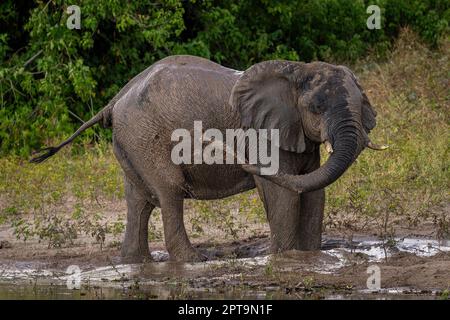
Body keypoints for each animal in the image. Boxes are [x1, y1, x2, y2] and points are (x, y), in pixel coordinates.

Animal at [30, 55, 386, 262]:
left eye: (363, 101)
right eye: (315, 107)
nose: (212, 141)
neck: (298, 70)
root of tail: (114, 101)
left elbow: (314, 191)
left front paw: (309, 257)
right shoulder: (262, 132)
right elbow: (282, 193)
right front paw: (285, 259)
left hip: (131, 141)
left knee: (139, 200)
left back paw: (137, 264)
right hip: (145, 137)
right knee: (169, 192)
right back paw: (193, 261)